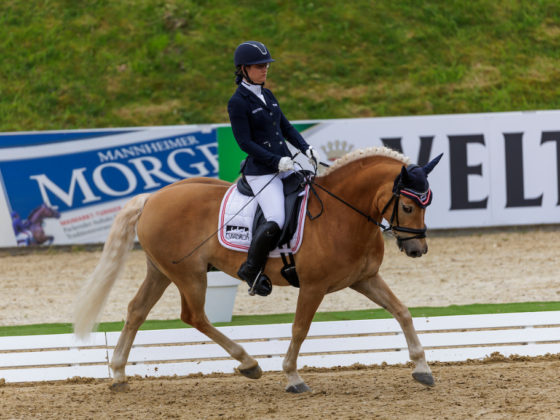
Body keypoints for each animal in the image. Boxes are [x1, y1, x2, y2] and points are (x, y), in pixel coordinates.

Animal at [73, 147, 442, 394]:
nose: (418, 250)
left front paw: (422, 369)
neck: (341, 213)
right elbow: (299, 329)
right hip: (190, 275)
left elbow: (402, 312)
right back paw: (248, 363)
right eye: (408, 206)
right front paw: (293, 377)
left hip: (161, 271)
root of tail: (152, 197)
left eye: (427, 204)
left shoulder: (364, 279)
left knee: (136, 311)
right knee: (195, 316)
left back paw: (119, 375)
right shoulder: (313, 286)